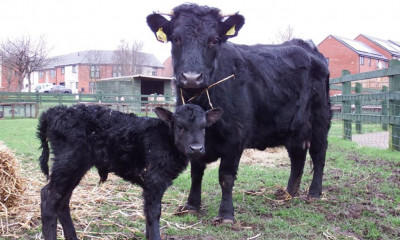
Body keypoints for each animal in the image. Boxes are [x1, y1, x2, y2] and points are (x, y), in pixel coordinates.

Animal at [37, 104, 222, 240]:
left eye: (203, 128)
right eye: (180, 127)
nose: (196, 148)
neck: (166, 139)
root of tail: (53, 112)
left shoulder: (150, 184)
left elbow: (148, 213)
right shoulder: (154, 179)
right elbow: (154, 213)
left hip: (75, 167)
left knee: (62, 200)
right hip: (69, 162)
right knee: (49, 195)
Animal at [147, 3, 332, 224]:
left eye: (214, 40)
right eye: (175, 38)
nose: (192, 77)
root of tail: (305, 46)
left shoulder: (236, 137)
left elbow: (225, 176)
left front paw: (226, 214)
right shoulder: (192, 137)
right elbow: (196, 171)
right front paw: (192, 205)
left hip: (320, 119)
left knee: (318, 154)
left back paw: (314, 193)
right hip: (294, 126)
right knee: (298, 155)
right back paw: (288, 193)